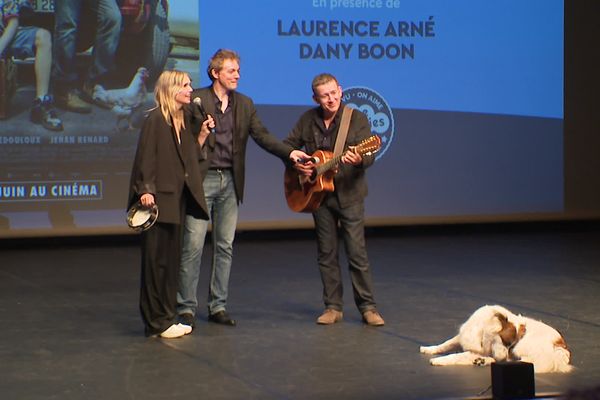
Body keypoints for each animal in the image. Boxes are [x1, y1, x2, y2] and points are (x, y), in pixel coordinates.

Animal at [420, 304, 576, 374]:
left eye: (510, 345)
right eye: (506, 343)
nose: (505, 354)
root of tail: (561, 348)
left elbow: (458, 356)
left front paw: (439, 360)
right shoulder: (463, 337)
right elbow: (446, 343)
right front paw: (429, 349)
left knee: (516, 362)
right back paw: (482, 361)